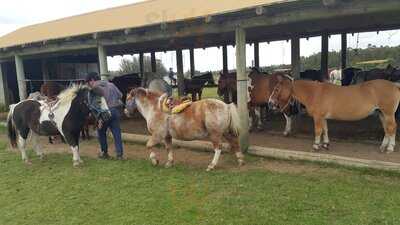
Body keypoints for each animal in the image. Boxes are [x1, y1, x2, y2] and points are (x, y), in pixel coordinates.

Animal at [268, 78, 400, 153]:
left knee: (392, 128)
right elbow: (325, 130)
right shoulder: (323, 117)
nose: (270, 103)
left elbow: (318, 131)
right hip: (381, 114)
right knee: (387, 129)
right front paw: (325, 144)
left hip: (388, 113)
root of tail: (395, 85)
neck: (314, 93)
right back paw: (383, 147)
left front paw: (316, 146)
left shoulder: (318, 117)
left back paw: (390, 148)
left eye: (277, 89)